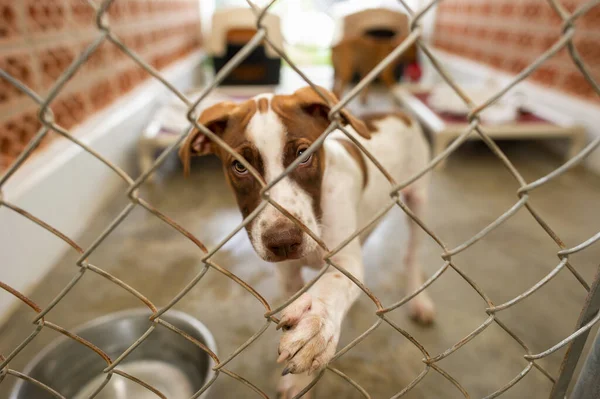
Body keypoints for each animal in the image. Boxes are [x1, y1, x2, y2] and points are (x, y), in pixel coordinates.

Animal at [179, 86, 436, 398]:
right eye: (239, 166)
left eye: (304, 155)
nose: (282, 241)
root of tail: (397, 112)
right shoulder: (288, 273)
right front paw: (298, 384)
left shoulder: (345, 260)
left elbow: (334, 285)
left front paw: (317, 323)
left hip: (418, 199)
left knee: (412, 255)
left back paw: (419, 300)